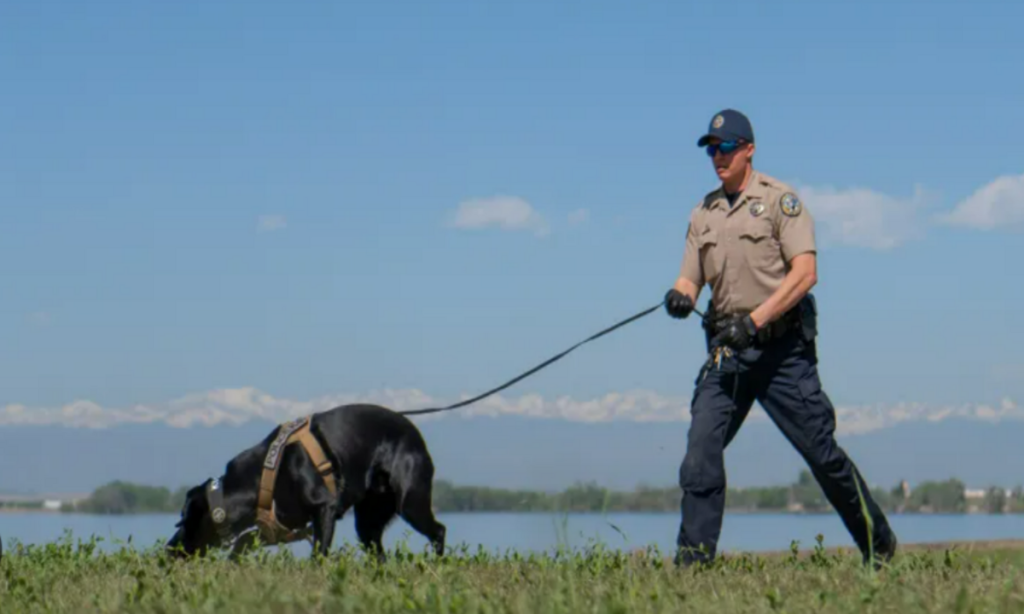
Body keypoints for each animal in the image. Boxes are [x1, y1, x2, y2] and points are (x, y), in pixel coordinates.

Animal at [163, 403, 444, 560]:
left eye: (184, 522)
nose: (167, 549)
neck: (262, 476)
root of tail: (417, 436)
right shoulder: (277, 525)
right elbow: (241, 545)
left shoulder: (324, 509)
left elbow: (318, 555)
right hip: (368, 520)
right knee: (379, 552)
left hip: (410, 501)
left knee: (439, 530)